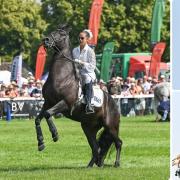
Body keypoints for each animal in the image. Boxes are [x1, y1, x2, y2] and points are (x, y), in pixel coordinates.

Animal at [34, 24, 122, 167]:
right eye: (53, 31)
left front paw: (55, 135)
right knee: (96, 148)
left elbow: (47, 114)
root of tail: (113, 103)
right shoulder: (48, 103)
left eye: (62, 34)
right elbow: (38, 118)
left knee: (118, 143)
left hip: (110, 126)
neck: (61, 78)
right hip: (88, 128)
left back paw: (116, 163)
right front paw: (41, 143)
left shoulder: (65, 103)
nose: (45, 40)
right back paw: (91, 165)